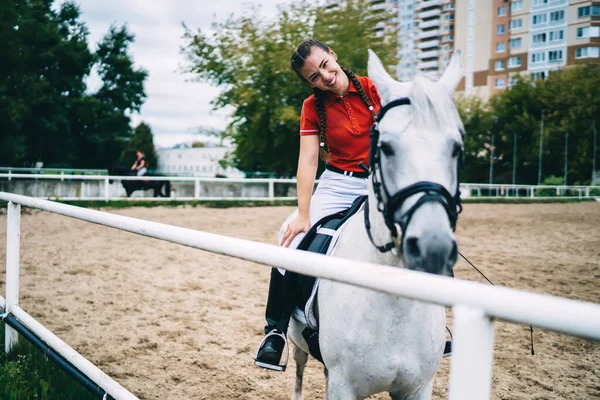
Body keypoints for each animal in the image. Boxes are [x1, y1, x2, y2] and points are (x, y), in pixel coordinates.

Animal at [284, 50, 464, 400]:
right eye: (386, 147)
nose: (431, 247)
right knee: (298, 369)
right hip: (297, 343)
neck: (395, 304)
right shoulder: (344, 386)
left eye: (456, 148)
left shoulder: (418, 388)